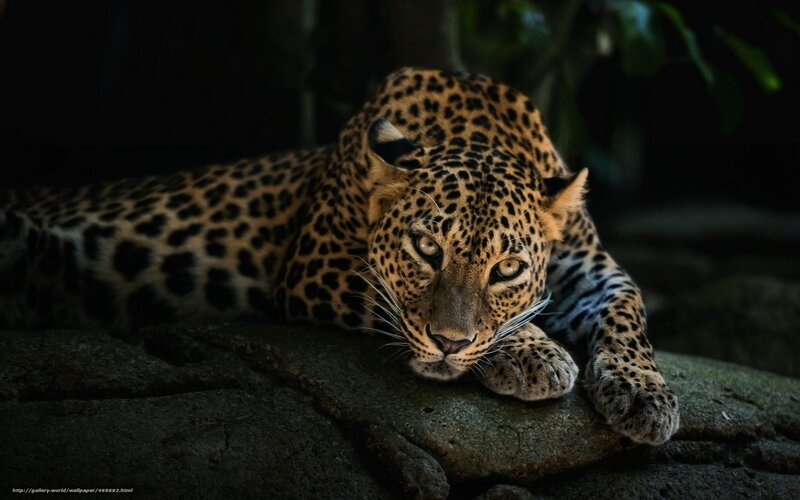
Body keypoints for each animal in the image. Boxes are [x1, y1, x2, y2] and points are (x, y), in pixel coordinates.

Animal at [0, 67, 679, 445]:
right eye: (426, 249)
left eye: (507, 269)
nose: (450, 345)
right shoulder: (315, 264)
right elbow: (397, 303)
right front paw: (537, 353)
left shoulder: (591, 268)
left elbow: (629, 309)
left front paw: (644, 395)